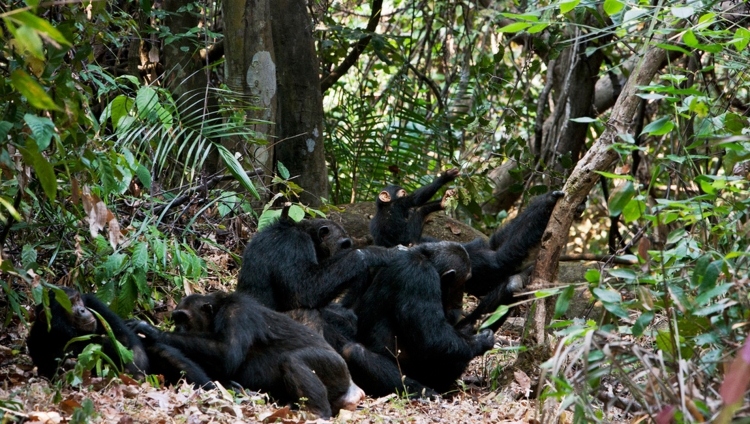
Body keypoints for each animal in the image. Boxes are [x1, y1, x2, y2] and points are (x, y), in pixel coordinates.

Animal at [27, 284, 214, 388]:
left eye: (77, 299)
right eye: (68, 305)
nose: (81, 310)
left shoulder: (94, 303)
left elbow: (126, 341)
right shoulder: (35, 341)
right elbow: (49, 370)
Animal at [131, 292, 366, 418]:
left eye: (184, 319)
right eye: (176, 320)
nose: (178, 329)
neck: (218, 310)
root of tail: (353, 388)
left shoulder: (238, 313)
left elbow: (227, 354)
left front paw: (152, 331)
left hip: (334, 369)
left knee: (294, 360)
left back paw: (315, 413)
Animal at [348, 243, 500, 396]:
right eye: (464, 282)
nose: (463, 295)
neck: (428, 259)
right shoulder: (421, 276)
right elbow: (432, 337)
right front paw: (482, 340)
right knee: (356, 353)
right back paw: (425, 392)